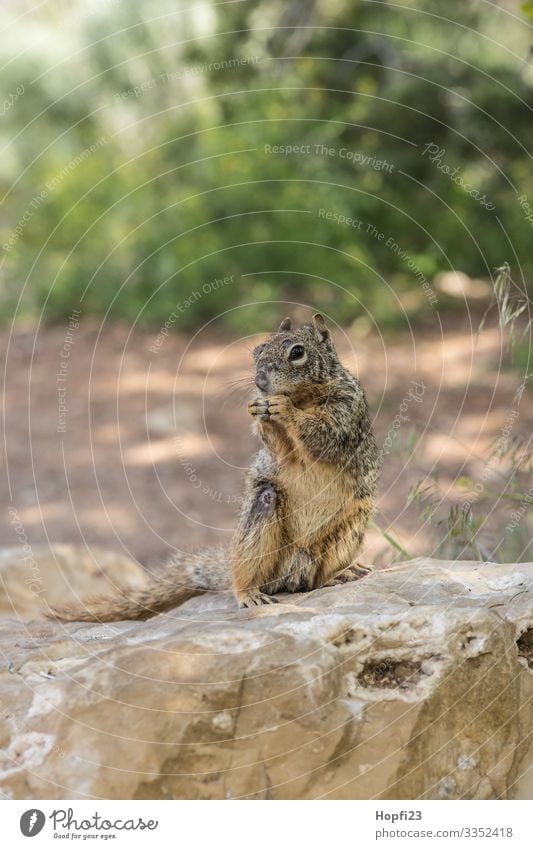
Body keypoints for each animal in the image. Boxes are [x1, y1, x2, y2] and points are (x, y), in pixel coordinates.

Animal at [48, 314, 378, 620]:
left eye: (297, 352)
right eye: (257, 351)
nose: (259, 382)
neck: (303, 397)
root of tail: (295, 569)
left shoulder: (346, 412)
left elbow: (325, 436)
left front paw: (284, 409)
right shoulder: (282, 452)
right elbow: (282, 451)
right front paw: (257, 408)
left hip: (350, 527)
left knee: (318, 579)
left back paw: (341, 573)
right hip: (262, 514)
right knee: (254, 572)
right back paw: (249, 593)